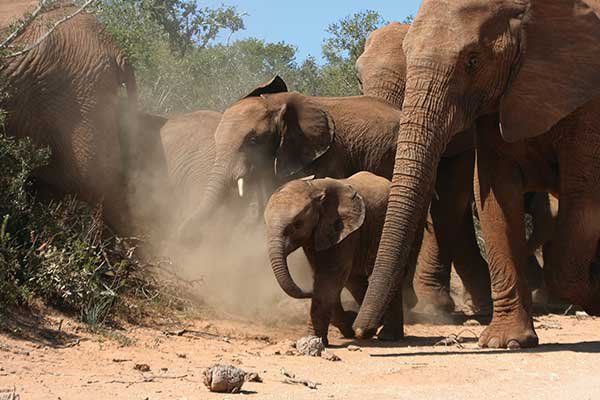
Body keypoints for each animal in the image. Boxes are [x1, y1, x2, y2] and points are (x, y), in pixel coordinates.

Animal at [264, 172, 400, 344]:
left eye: (297, 225)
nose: (308, 290)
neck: (314, 188)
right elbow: (322, 276)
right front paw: (347, 326)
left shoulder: (345, 231)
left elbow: (330, 277)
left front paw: (316, 339)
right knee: (354, 281)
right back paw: (368, 330)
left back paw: (386, 335)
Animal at [354, 0, 600, 350]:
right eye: (357, 79)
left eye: (473, 60)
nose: (363, 333)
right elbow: (495, 193)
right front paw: (506, 341)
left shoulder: (588, 102)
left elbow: (582, 196)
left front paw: (595, 293)